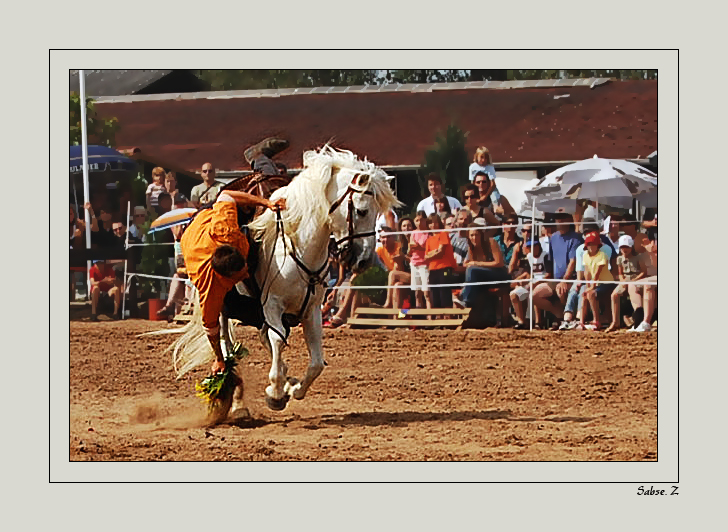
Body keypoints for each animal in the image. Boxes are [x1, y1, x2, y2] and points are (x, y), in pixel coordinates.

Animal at [166, 147, 398, 416]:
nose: (364, 260)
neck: (299, 247)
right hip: (222, 305)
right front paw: (276, 393)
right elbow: (277, 342)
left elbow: (316, 362)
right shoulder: (272, 305)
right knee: (226, 347)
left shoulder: (311, 311)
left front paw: (293, 388)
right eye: (361, 211)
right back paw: (236, 400)